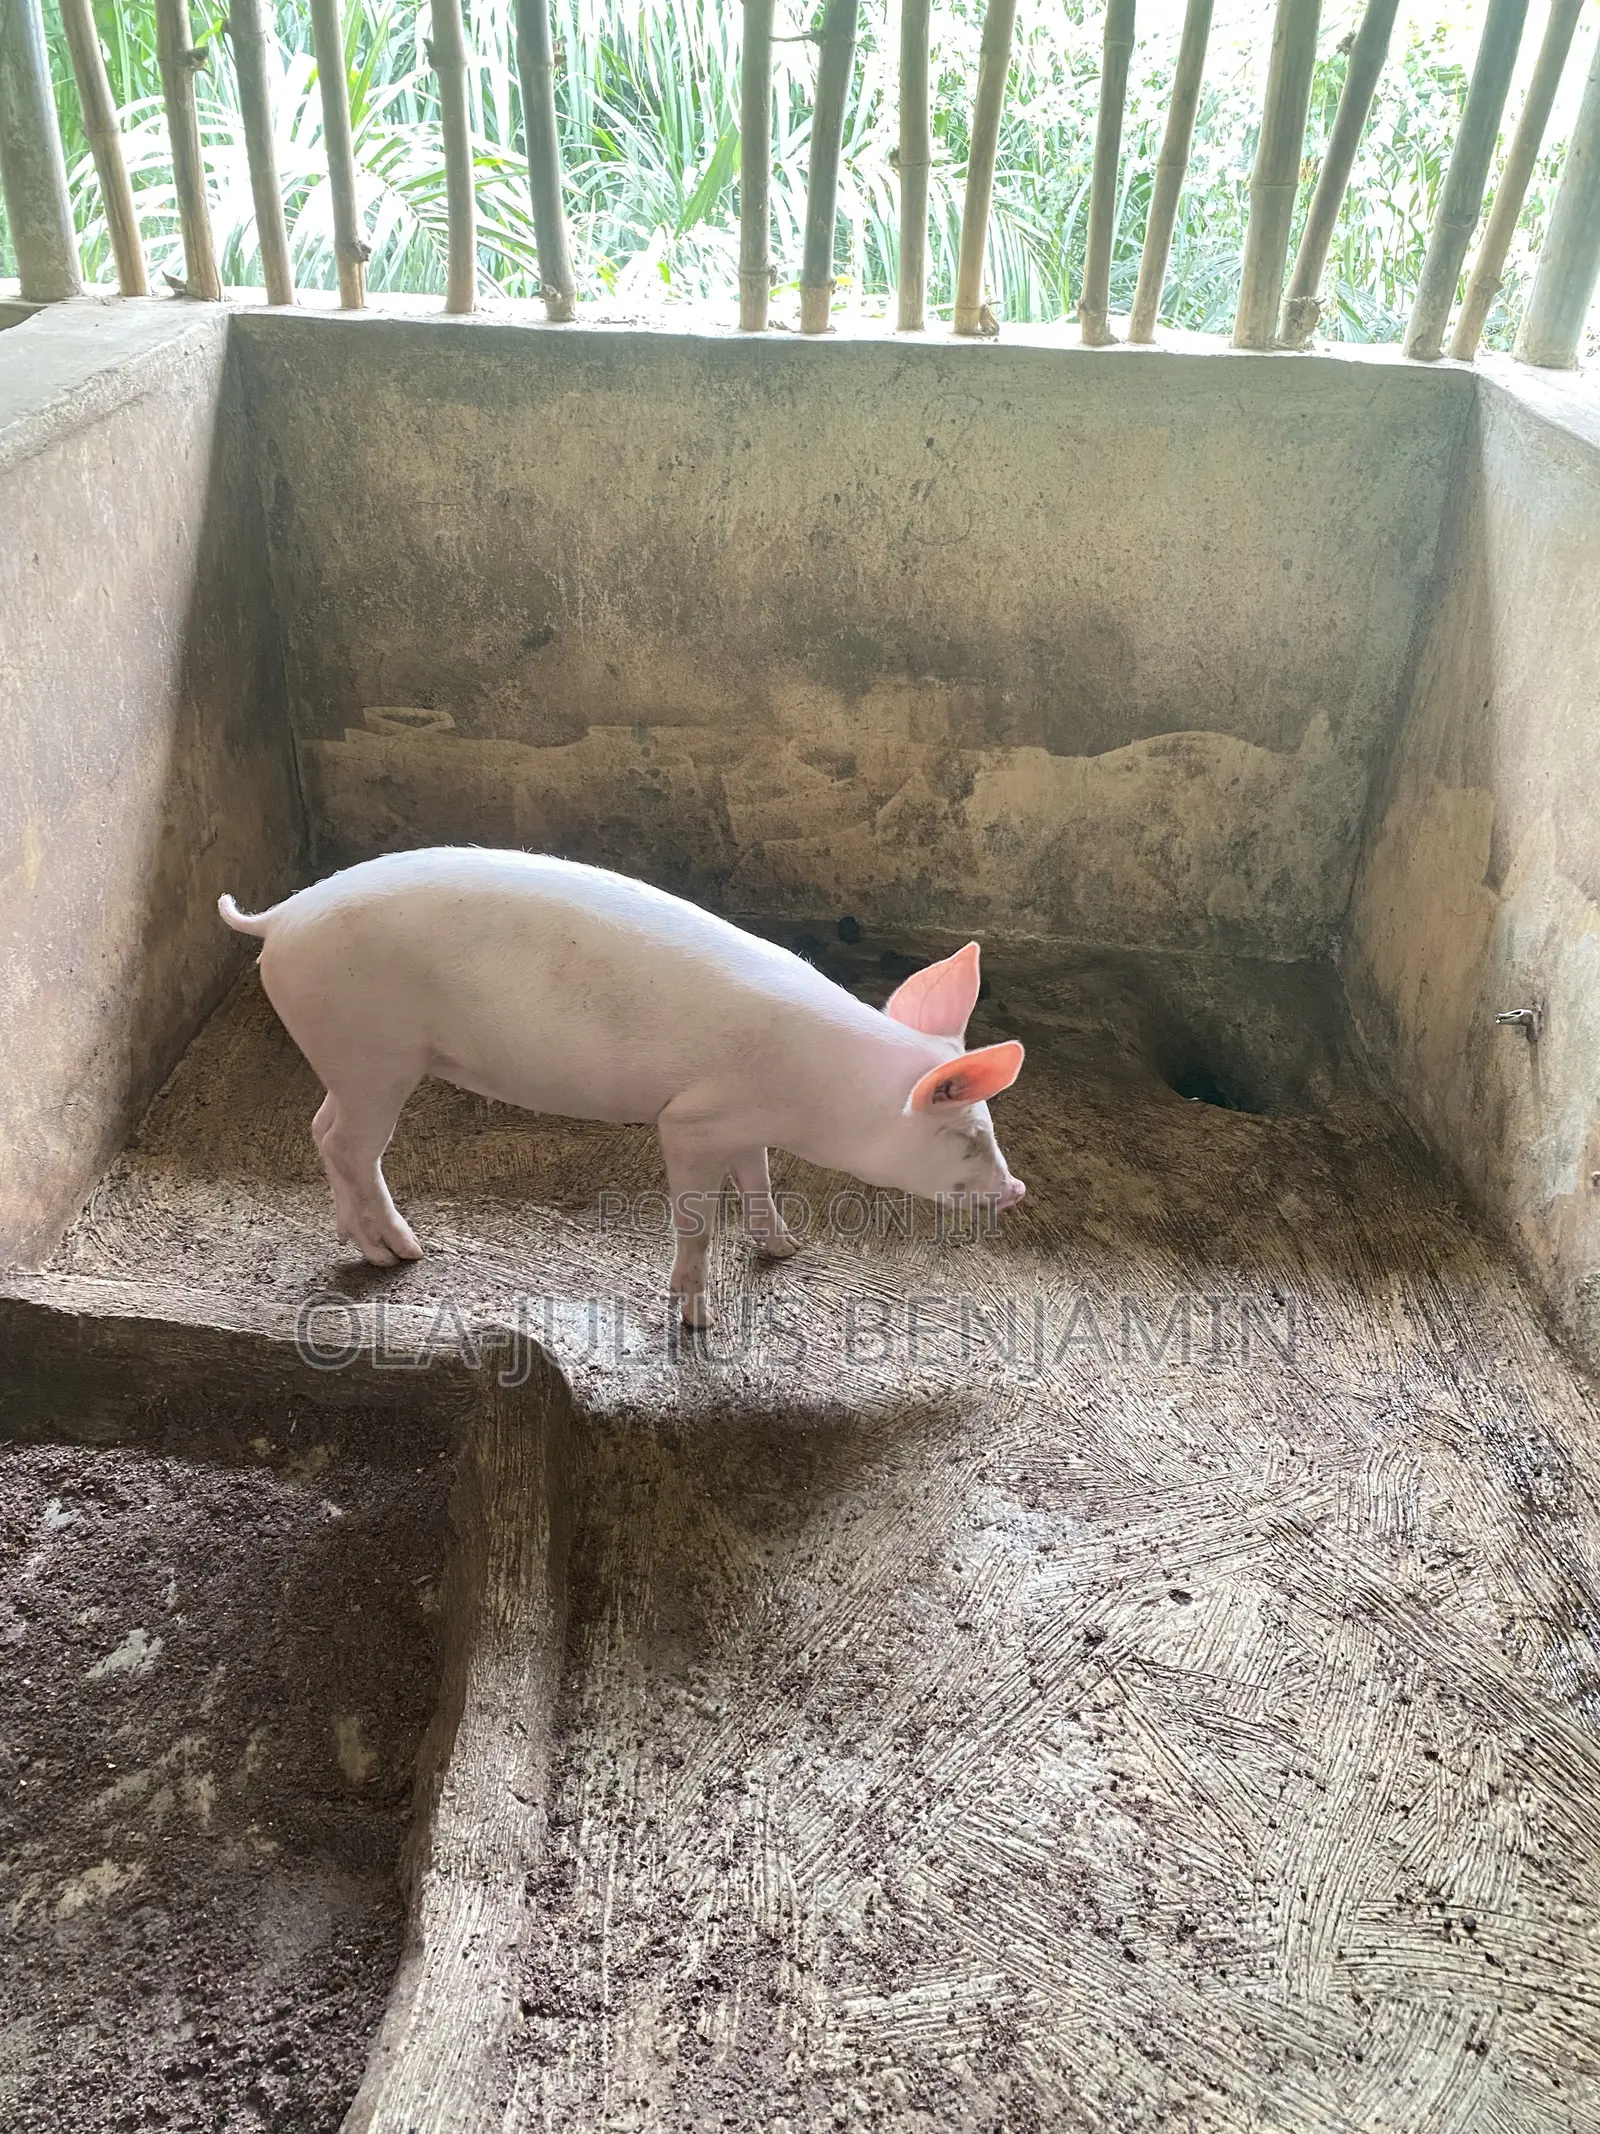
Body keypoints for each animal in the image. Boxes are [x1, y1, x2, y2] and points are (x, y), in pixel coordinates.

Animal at [219, 848, 1026, 1326]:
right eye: (968, 1134)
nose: (1016, 1190)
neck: (821, 1094)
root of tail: (278, 918)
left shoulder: (743, 1123)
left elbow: (759, 1181)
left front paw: (785, 1249)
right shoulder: (692, 1119)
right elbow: (696, 1219)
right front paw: (698, 1321)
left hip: (351, 1059)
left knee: (322, 1128)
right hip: (374, 1054)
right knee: (350, 1145)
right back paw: (402, 1255)